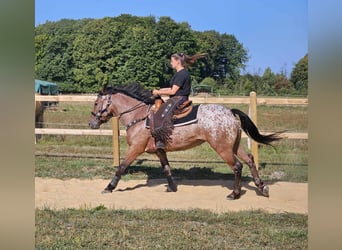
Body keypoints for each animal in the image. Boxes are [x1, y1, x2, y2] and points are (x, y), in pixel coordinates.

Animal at [89, 83, 284, 200]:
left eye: (96, 103)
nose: (91, 123)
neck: (139, 116)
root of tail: (229, 112)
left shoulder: (136, 148)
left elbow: (122, 167)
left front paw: (109, 187)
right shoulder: (160, 150)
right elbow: (167, 168)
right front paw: (172, 187)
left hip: (222, 148)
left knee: (237, 166)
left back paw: (234, 194)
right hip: (234, 145)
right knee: (250, 159)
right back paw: (262, 187)